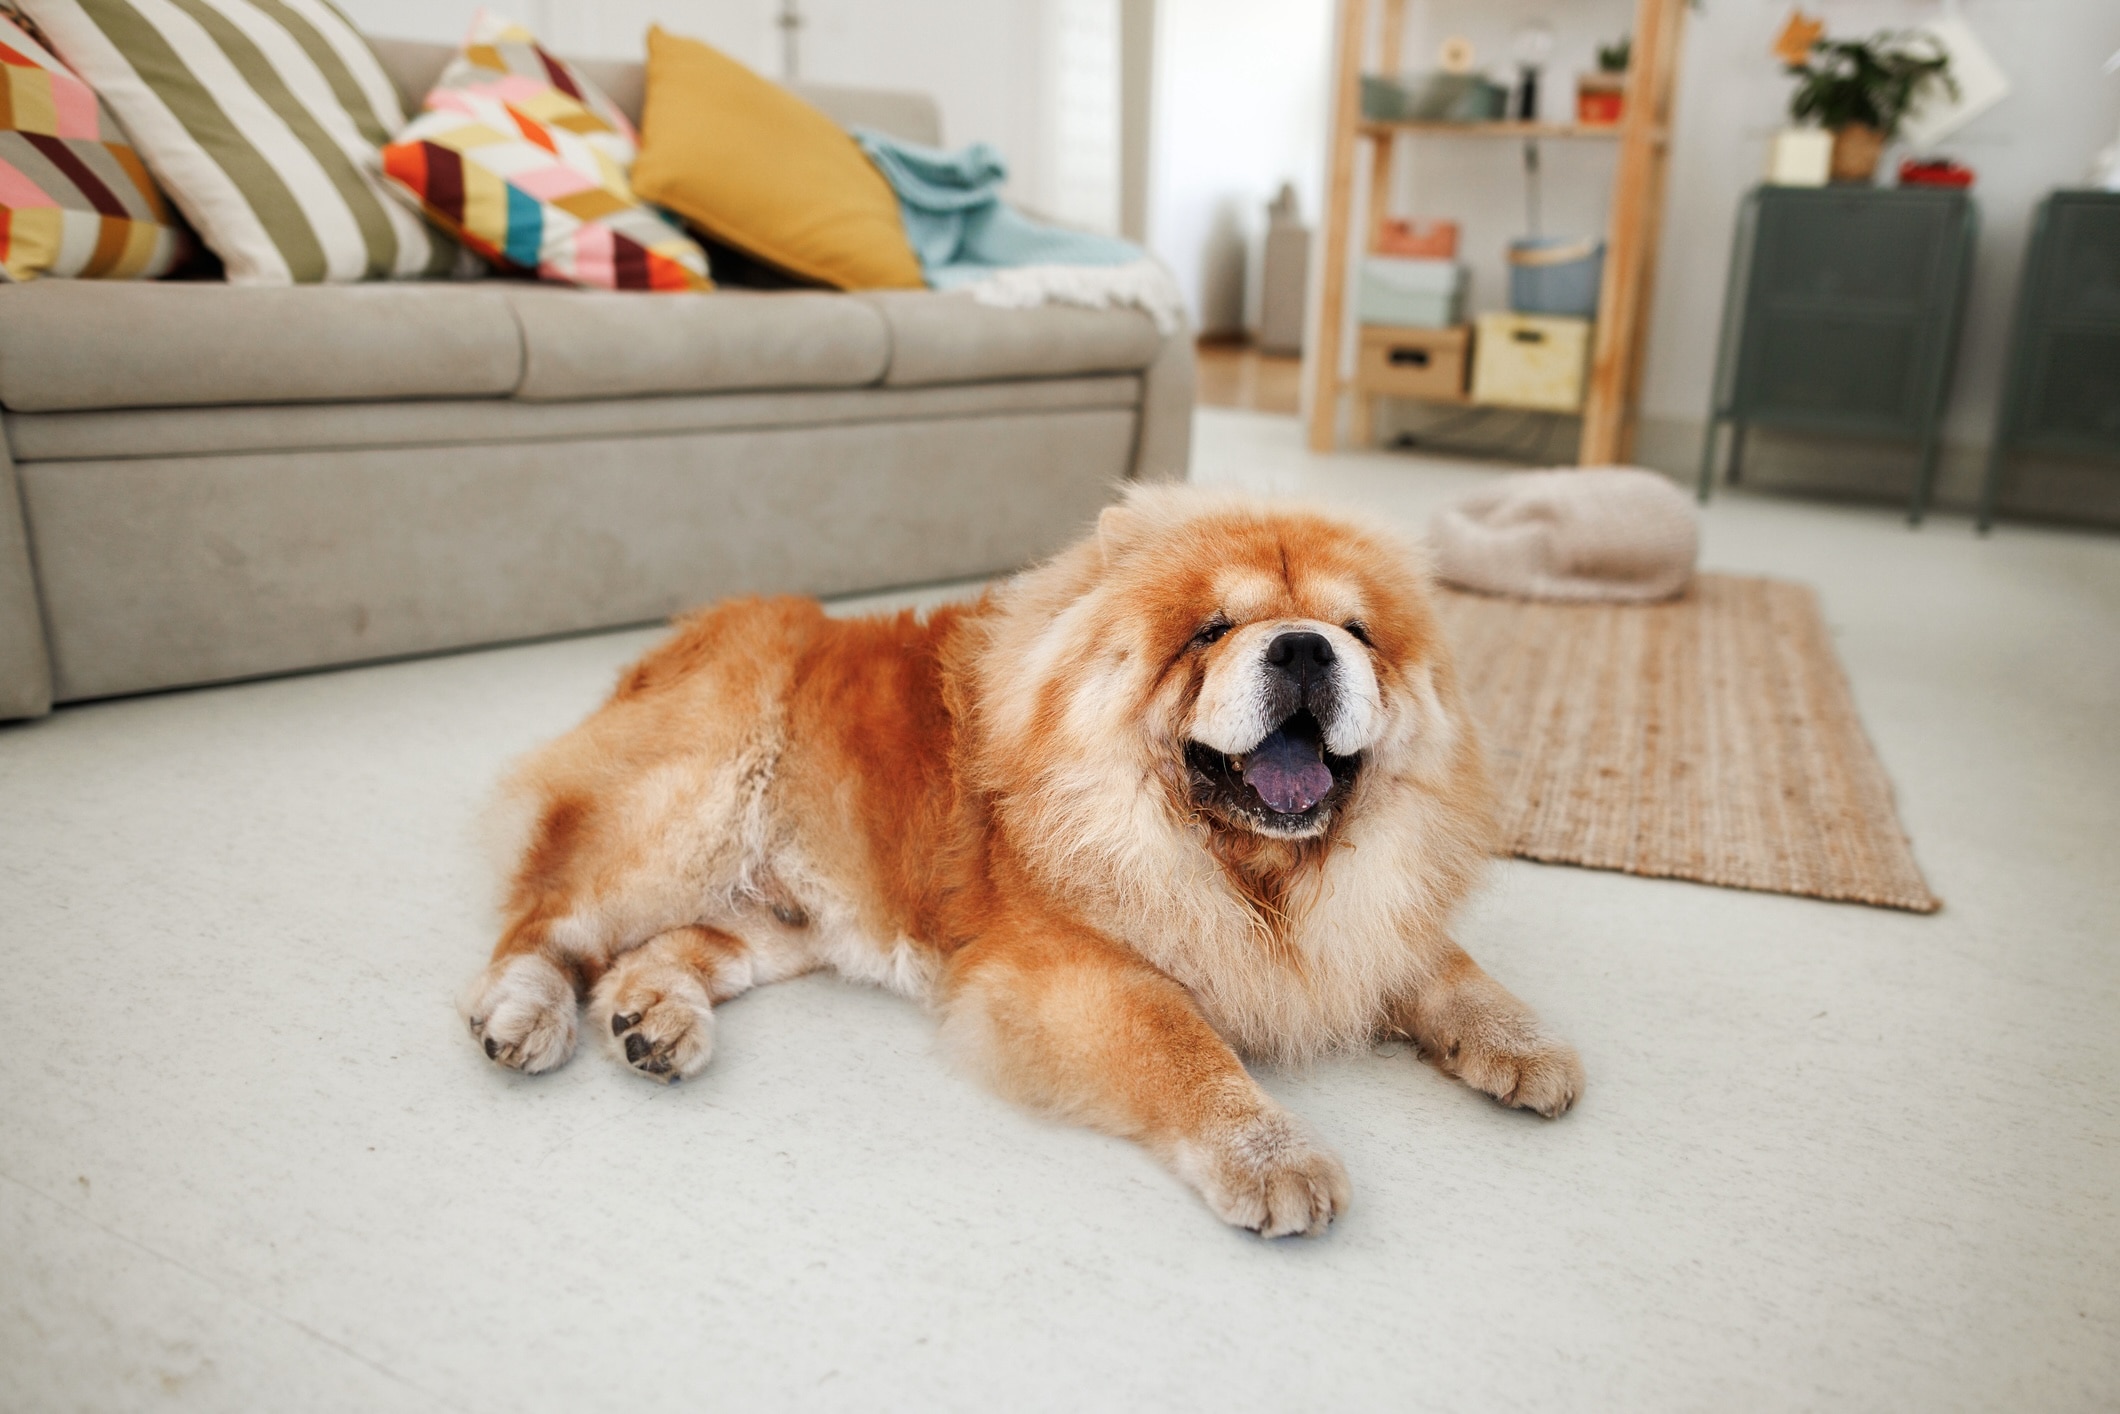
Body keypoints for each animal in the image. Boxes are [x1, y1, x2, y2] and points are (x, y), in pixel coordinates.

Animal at [472, 487, 1585, 1238]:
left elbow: (1444, 966)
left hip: (794, 916)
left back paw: (653, 1020)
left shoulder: (1367, 916)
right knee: (548, 918)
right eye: (1211, 630)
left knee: (660, 949)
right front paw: (1275, 1157)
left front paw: (1524, 1045)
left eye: (1358, 631)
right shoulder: (1072, 967)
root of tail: (681, 640)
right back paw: (524, 1014)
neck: (1254, 875)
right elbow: (1187, 1047)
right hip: (684, 813)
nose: (1306, 646)